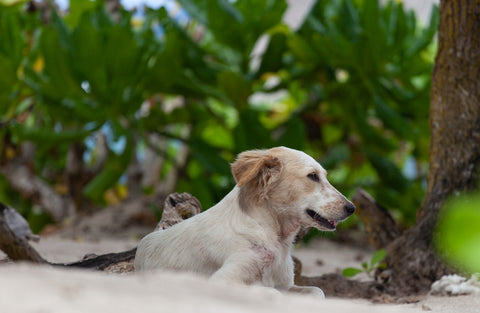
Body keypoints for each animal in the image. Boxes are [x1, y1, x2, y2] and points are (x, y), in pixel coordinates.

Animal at [133, 145, 354, 296]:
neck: (273, 237)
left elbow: (318, 291)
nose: (352, 208)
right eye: (313, 176)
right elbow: (270, 292)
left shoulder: (287, 284)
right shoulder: (222, 280)